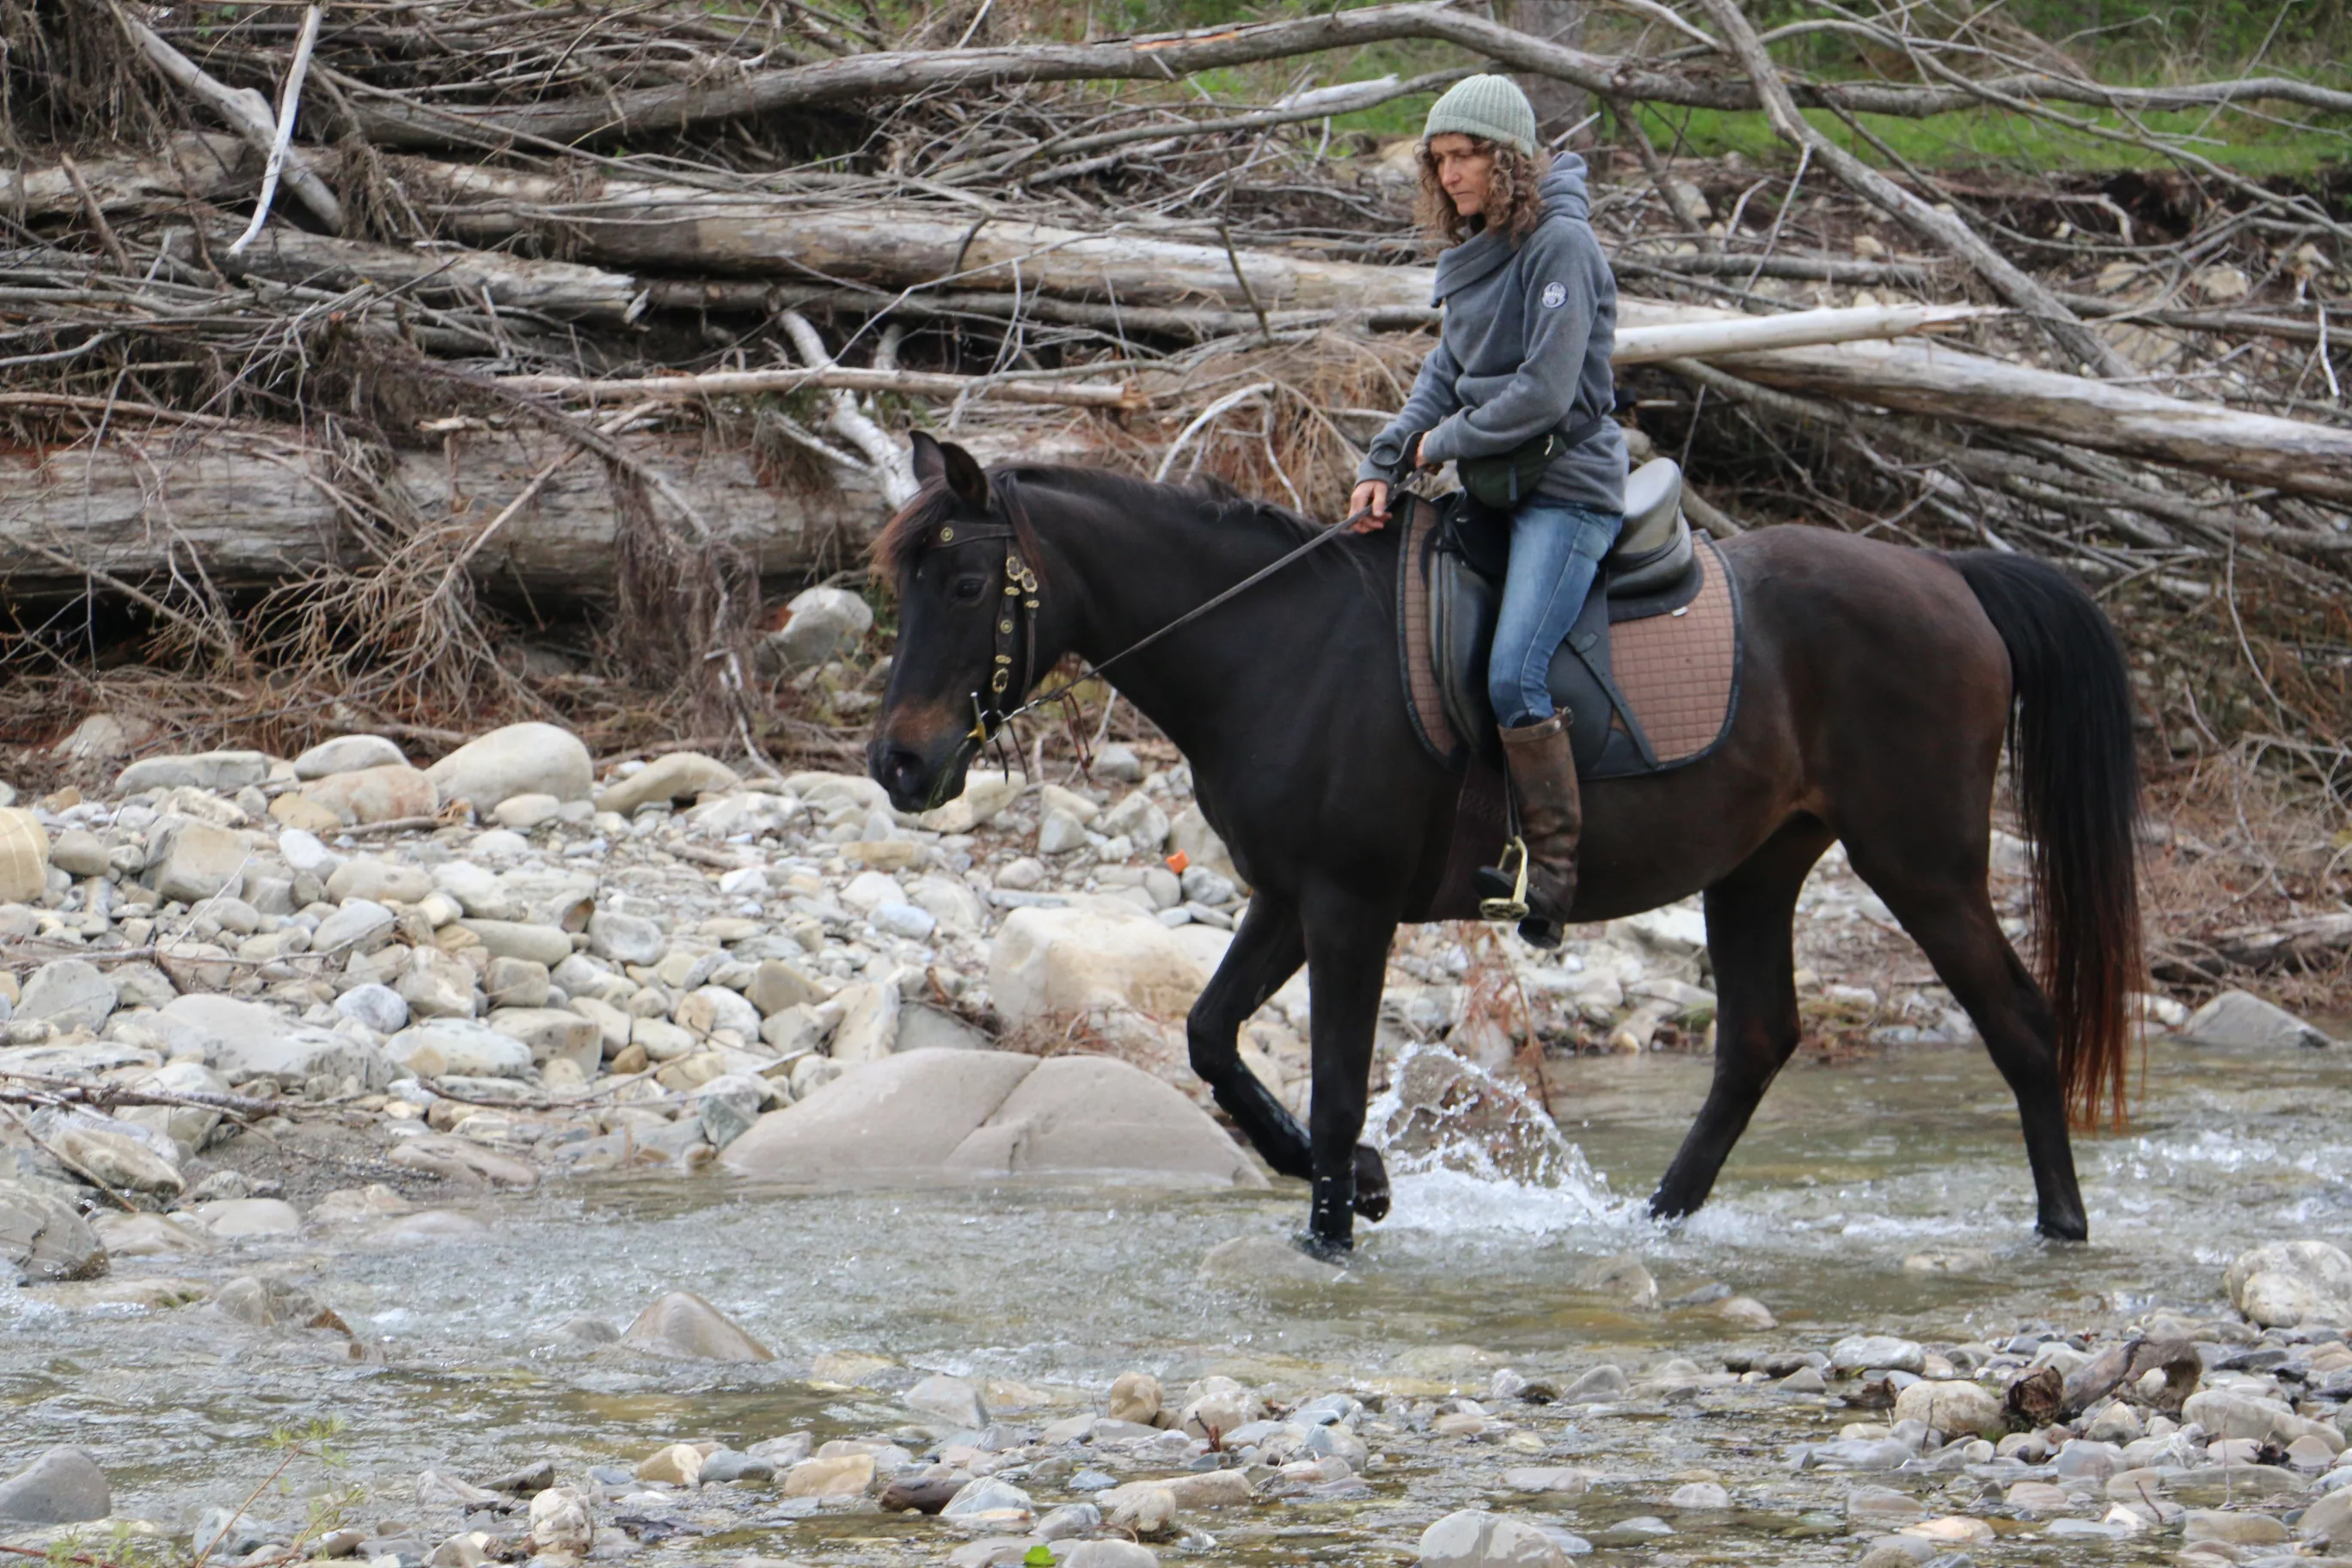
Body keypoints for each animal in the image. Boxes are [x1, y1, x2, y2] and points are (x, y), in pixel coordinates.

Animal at [870, 432, 2154, 1259]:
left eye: (970, 581)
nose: (897, 764)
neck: (1273, 647)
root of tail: (1948, 573)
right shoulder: (1286, 898)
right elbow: (1211, 1041)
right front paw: (1366, 1189)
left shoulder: (1347, 904)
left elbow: (1334, 1085)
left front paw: (1332, 1232)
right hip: (1758, 866)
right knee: (1755, 1043)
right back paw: (1653, 1223)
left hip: (1920, 861)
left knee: (2018, 1023)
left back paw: (2063, 1229)